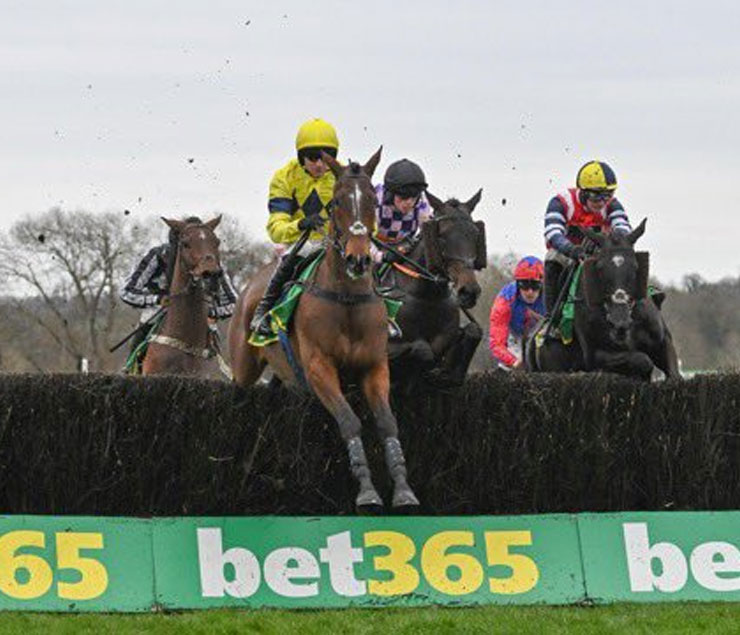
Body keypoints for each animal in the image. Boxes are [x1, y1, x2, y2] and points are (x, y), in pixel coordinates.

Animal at [228, 150, 420, 516]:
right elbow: (349, 421)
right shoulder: (319, 367)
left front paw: (403, 490)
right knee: (240, 403)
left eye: (373, 200)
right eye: (336, 203)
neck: (346, 299)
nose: (359, 260)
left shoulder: (375, 366)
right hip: (244, 369)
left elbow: (387, 422)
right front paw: (367, 492)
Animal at [378, 190, 488, 388]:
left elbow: (473, 332)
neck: (426, 297)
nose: (469, 291)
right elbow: (422, 349)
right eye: (442, 235)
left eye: (476, 235)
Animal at [524, 220, 680, 378]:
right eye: (599, 268)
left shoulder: (663, 341)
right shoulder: (595, 355)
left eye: (635, 267)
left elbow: (674, 374)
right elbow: (642, 360)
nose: (619, 322)